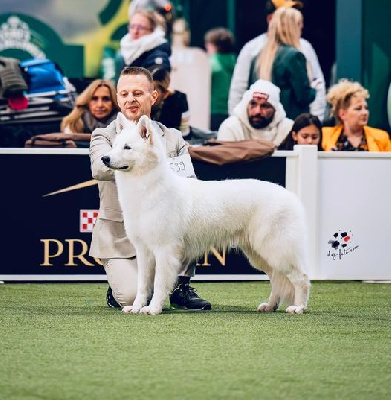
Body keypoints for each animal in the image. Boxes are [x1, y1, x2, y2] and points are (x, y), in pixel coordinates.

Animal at [102, 113, 310, 316]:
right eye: (114, 145)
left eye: (127, 147)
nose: (104, 158)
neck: (148, 186)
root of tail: (290, 196)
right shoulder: (144, 251)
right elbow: (142, 285)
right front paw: (136, 307)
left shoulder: (164, 250)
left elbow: (159, 284)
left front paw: (153, 309)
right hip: (260, 254)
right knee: (277, 280)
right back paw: (270, 305)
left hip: (275, 250)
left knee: (301, 278)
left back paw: (298, 307)